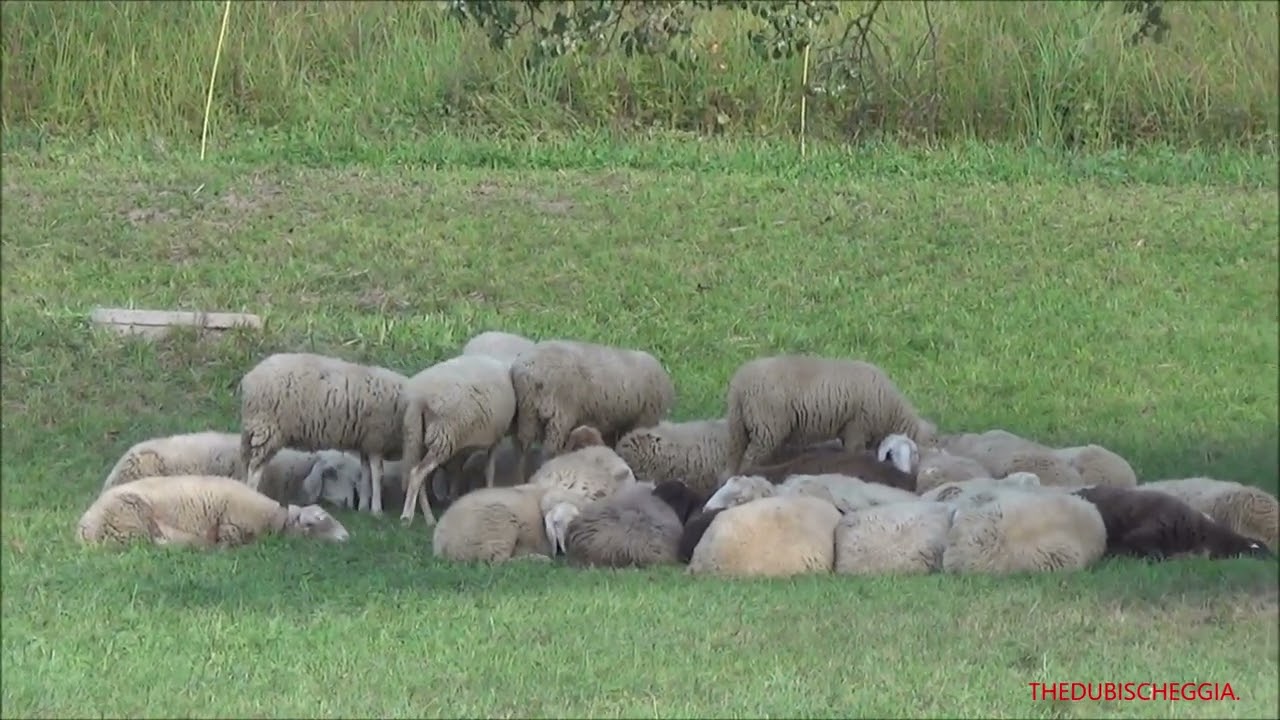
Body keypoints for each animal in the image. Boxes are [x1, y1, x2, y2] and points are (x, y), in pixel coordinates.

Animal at [238, 352, 409, 516]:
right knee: (255, 469)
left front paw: (364, 507)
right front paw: (376, 509)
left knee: (248, 464)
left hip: (255, 431)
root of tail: (249, 379)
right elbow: (377, 475)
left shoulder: (365, 442)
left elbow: (366, 474)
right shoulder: (376, 440)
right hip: (267, 429)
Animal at [398, 354, 517, 527]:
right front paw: (489, 491)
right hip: (443, 437)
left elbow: (456, 472)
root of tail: (417, 399)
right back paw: (412, 517)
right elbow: (489, 470)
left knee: (418, 473)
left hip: (416, 435)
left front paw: (453, 500)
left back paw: (427, 515)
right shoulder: (495, 439)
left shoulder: (462, 447)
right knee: (417, 474)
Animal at [724, 355, 929, 474]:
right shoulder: (857, 427)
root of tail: (739, 385)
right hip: (767, 427)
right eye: (916, 454)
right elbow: (854, 451)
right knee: (749, 460)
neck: (892, 411)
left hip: (739, 428)